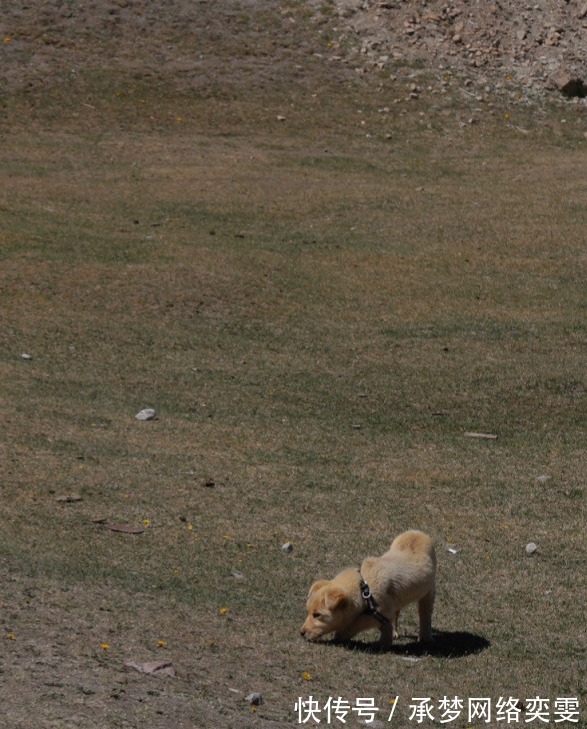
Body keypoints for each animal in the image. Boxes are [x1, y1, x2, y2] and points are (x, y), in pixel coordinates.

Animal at [304, 528, 436, 648]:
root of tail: (417, 532)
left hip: (429, 591)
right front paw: (385, 643)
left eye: (317, 615)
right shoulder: (384, 611)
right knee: (397, 612)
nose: (302, 632)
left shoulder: (380, 610)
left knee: (425, 613)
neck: (364, 587)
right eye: (309, 612)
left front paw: (340, 635)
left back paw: (425, 637)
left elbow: (356, 623)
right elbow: (385, 625)